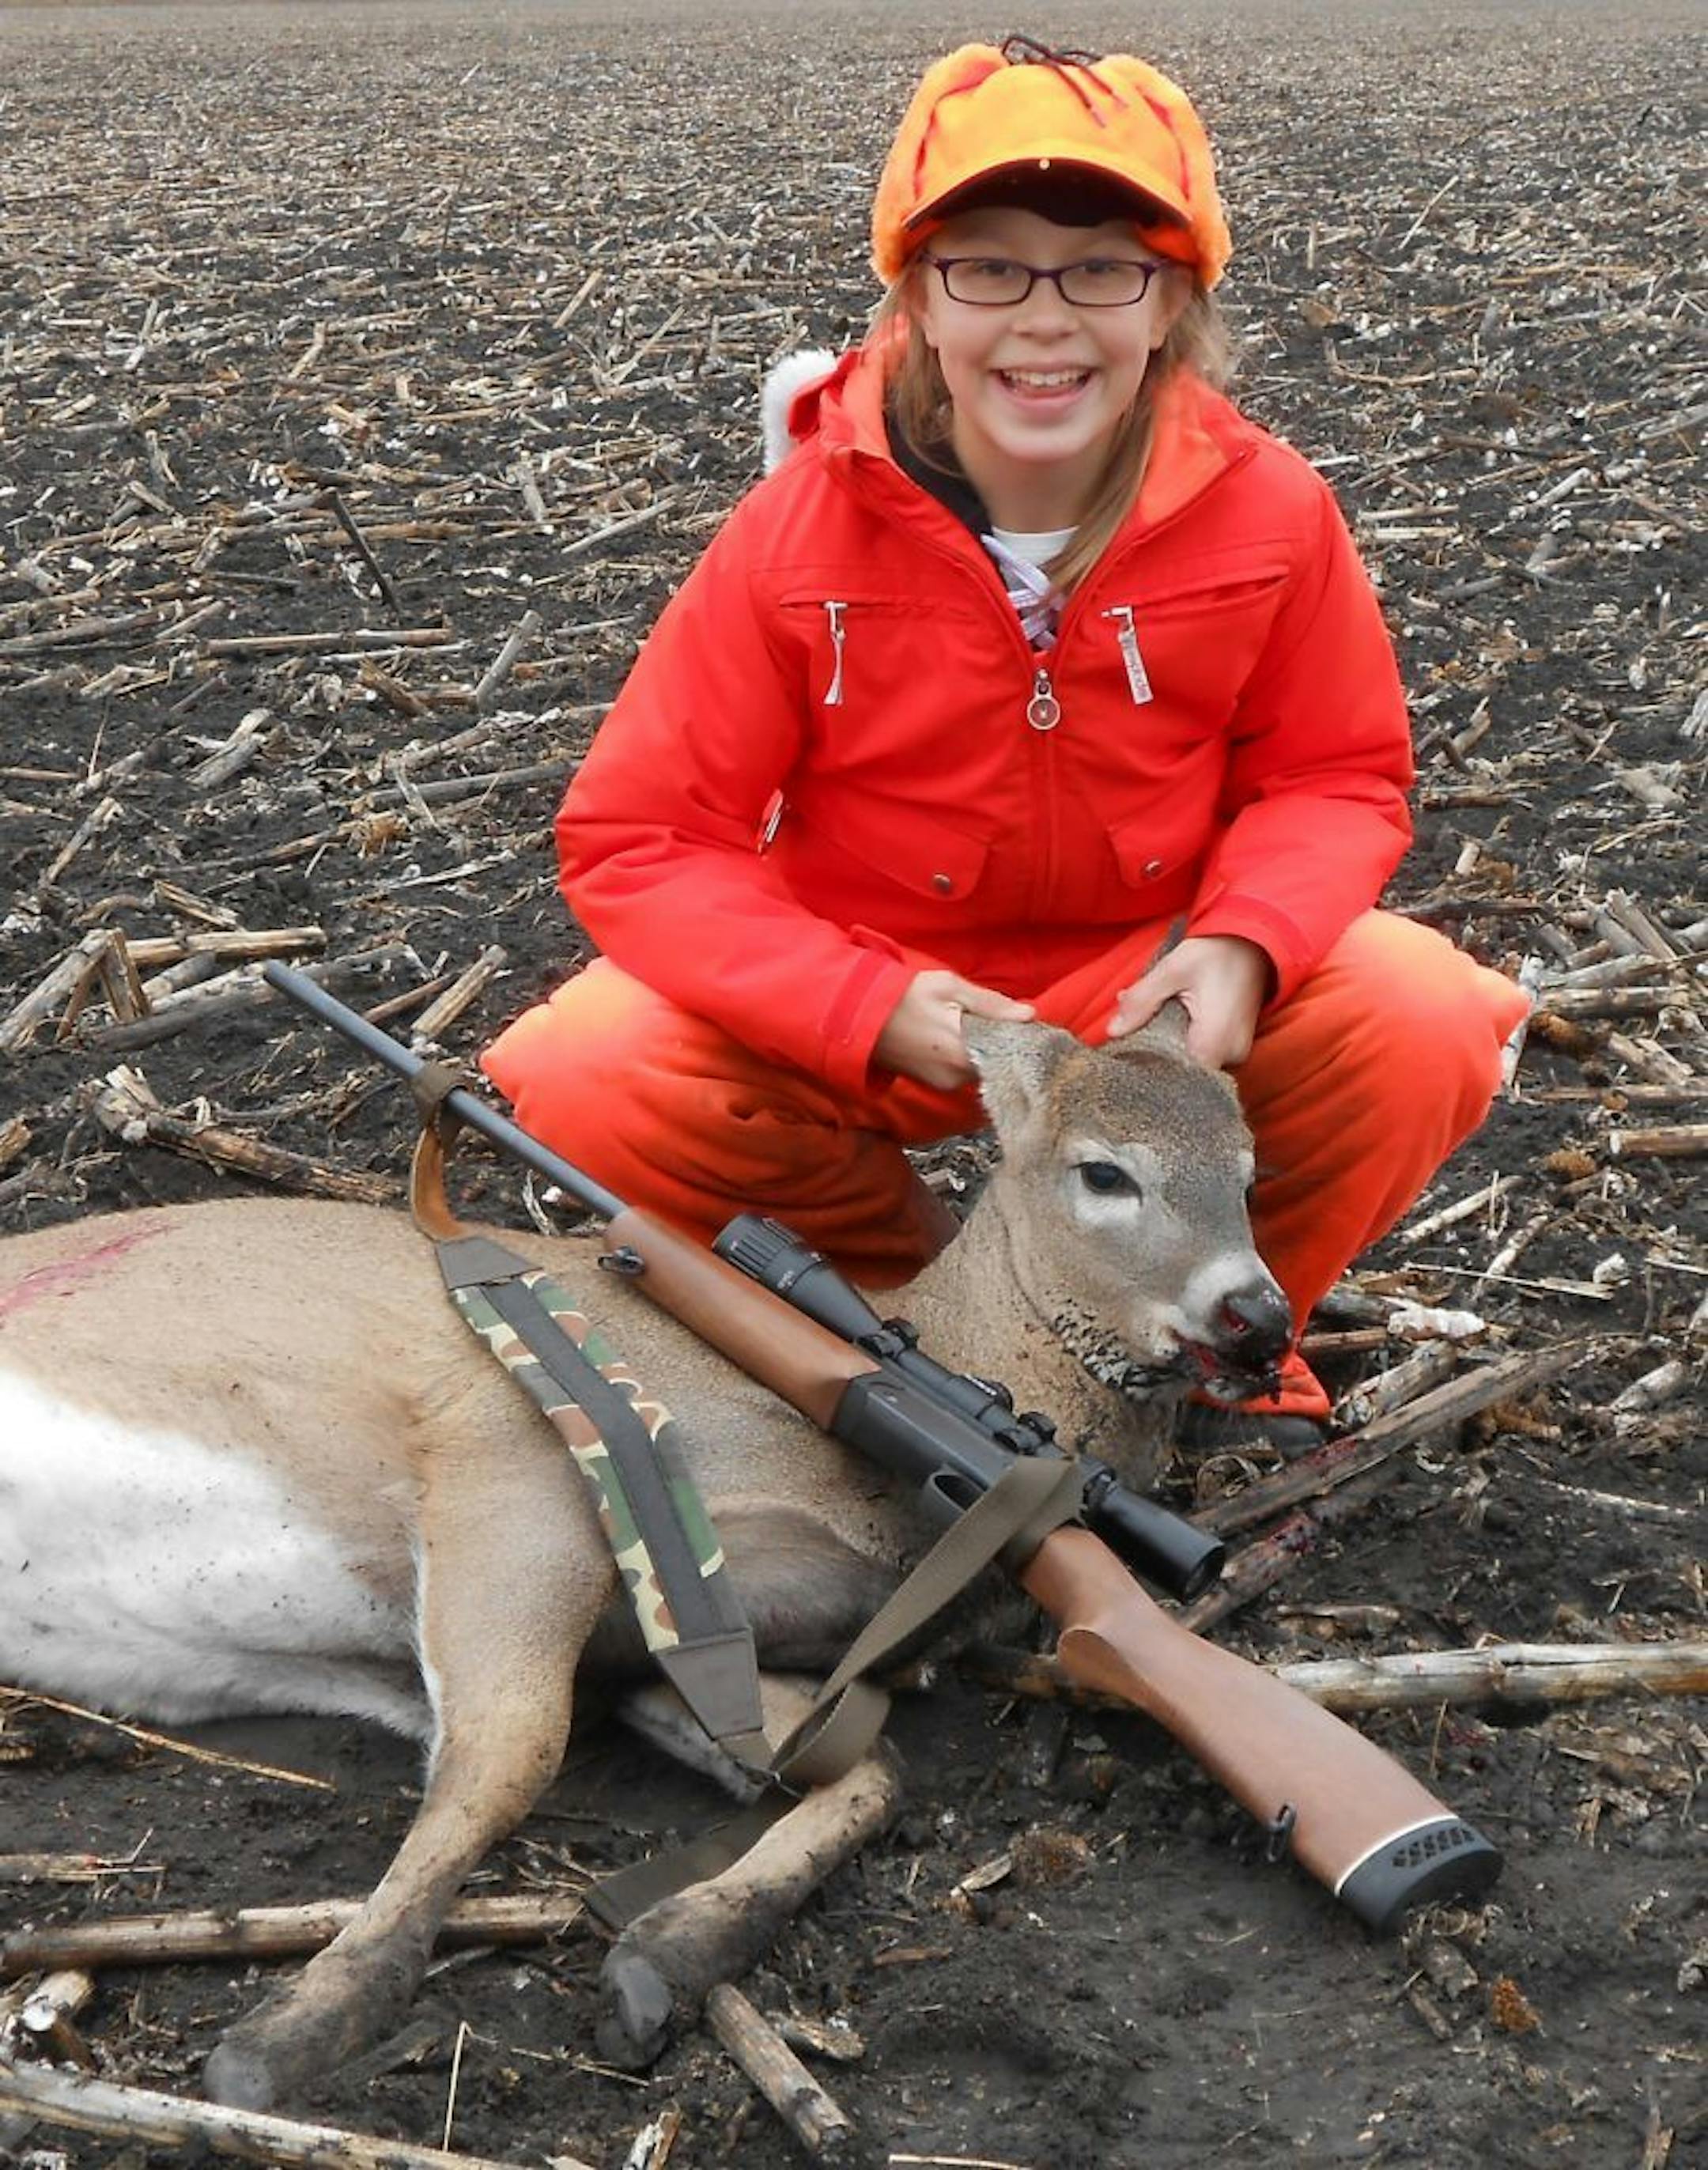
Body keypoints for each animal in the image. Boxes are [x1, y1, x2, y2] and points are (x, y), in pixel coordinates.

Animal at [0, 1012, 1289, 2112]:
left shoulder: (661, 1640)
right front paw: (292, 2031)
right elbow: (506, 1758)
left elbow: (867, 1773)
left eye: (1247, 1167)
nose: (1259, 1317)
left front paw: (668, 1954)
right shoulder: (511, 1454)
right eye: (1105, 1171)